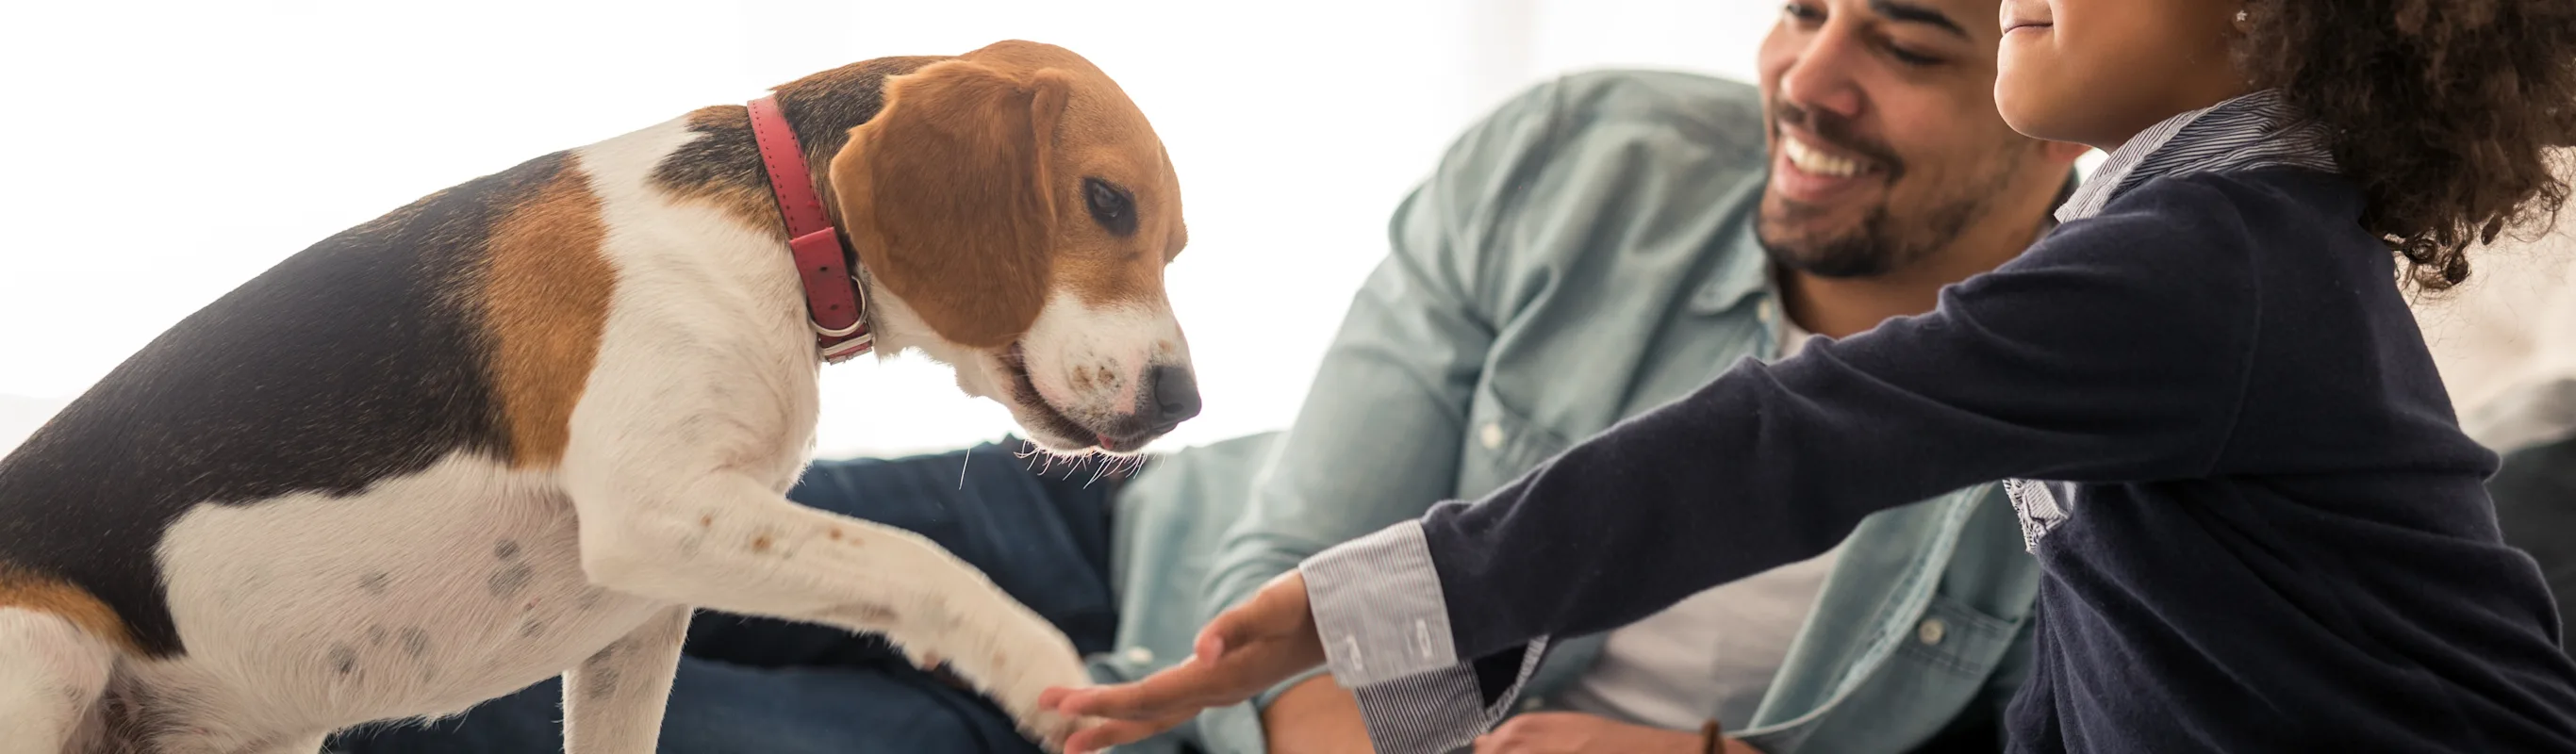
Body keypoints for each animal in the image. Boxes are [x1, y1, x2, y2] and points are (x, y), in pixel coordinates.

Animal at [0, 42, 1184, 751]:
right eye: (1104, 201)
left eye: (1173, 245)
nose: (1183, 398)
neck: (778, 223)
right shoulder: (652, 510)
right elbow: (914, 555)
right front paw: (1030, 661)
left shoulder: (644, 615)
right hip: (48, 657)